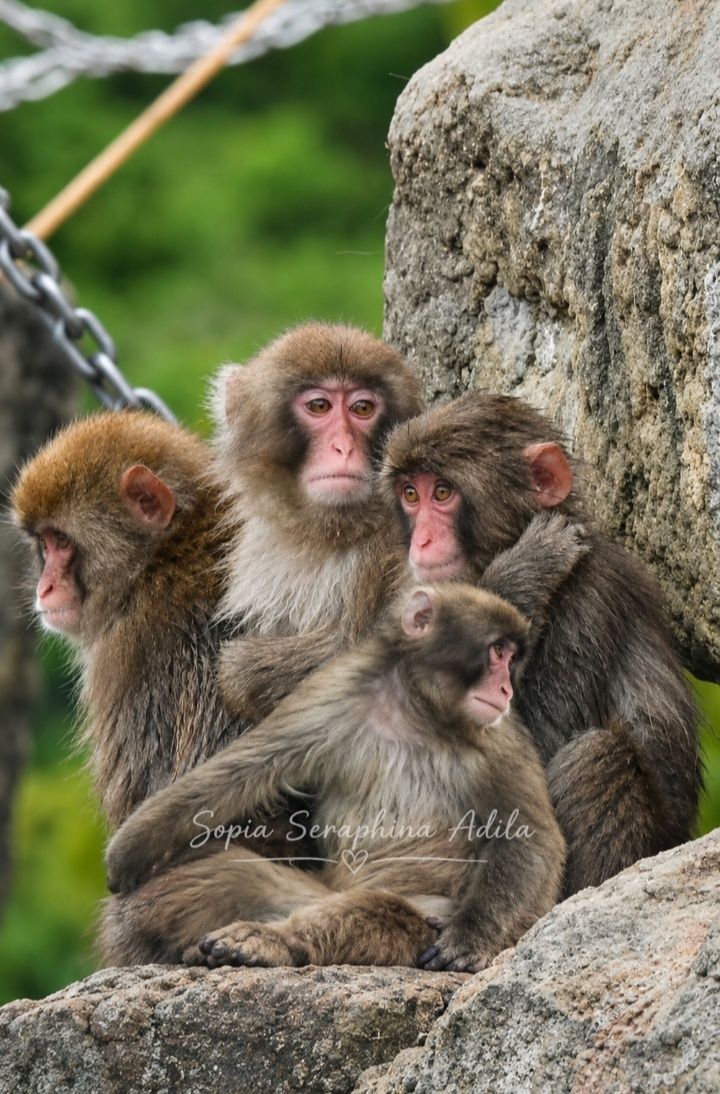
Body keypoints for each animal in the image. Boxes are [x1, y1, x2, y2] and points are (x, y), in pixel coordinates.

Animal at [104, 581, 566, 973]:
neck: (414, 710)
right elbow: (249, 767)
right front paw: (132, 846)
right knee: (227, 874)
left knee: (383, 910)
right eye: (497, 651)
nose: (505, 688)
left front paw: (471, 940)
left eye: (511, 657)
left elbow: (529, 836)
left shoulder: (499, 739)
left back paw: (274, 942)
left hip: (430, 911)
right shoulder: (336, 690)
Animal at [381, 391, 701, 896]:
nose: (422, 541)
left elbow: (534, 748)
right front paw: (523, 571)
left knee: (595, 757)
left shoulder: (590, 597)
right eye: (411, 495)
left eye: (443, 493)